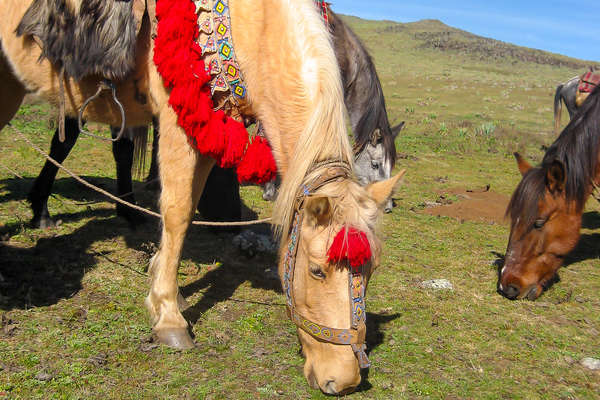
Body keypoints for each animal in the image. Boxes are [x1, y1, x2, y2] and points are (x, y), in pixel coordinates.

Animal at [1, 0, 404, 394]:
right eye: (317, 270)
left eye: (371, 270)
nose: (344, 380)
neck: (252, 24)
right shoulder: (177, 120)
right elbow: (178, 212)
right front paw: (168, 316)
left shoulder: (212, 126)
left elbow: (191, 204)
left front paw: (164, 285)